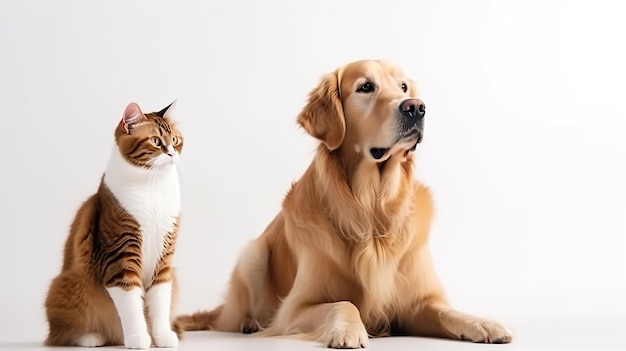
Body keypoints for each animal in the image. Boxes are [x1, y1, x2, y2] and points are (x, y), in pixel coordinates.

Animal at [45, 101, 184, 350]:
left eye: (175, 140)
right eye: (156, 141)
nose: (171, 154)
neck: (153, 186)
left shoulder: (165, 259)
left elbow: (160, 301)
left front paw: (161, 337)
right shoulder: (120, 256)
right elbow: (131, 305)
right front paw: (138, 337)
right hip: (66, 286)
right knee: (61, 335)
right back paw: (91, 337)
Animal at [176, 59, 512, 348]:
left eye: (404, 87)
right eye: (366, 87)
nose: (416, 107)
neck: (373, 207)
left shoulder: (418, 303)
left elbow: (446, 311)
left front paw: (483, 323)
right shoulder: (295, 308)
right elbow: (344, 302)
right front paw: (349, 330)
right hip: (253, 254)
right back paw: (248, 323)